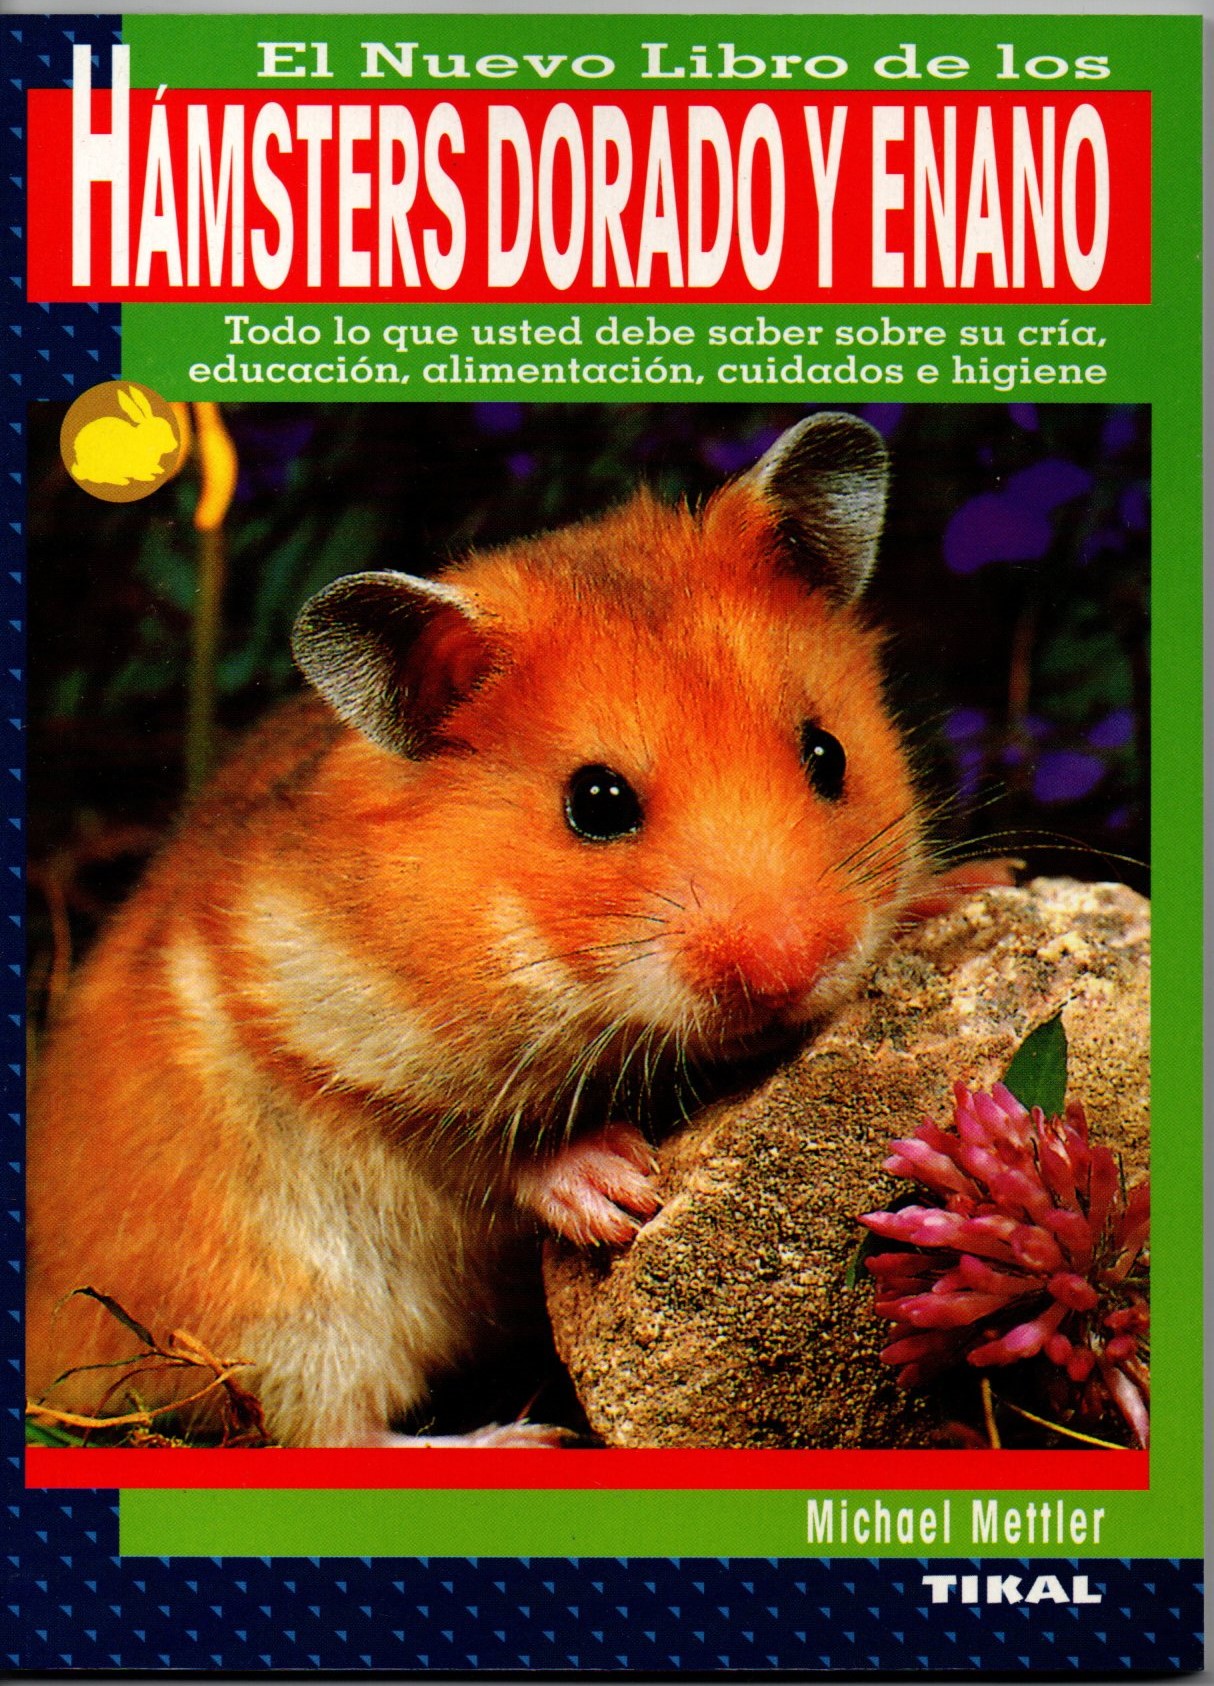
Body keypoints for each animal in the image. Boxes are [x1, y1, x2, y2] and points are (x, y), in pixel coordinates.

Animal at [27, 411, 929, 1448]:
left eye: (828, 752)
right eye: (596, 803)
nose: (794, 968)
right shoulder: (324, 1044)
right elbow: (478, 1152)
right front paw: (617, 1191)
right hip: (286, 1306)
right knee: (339, 1433)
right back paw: (529, 1439)